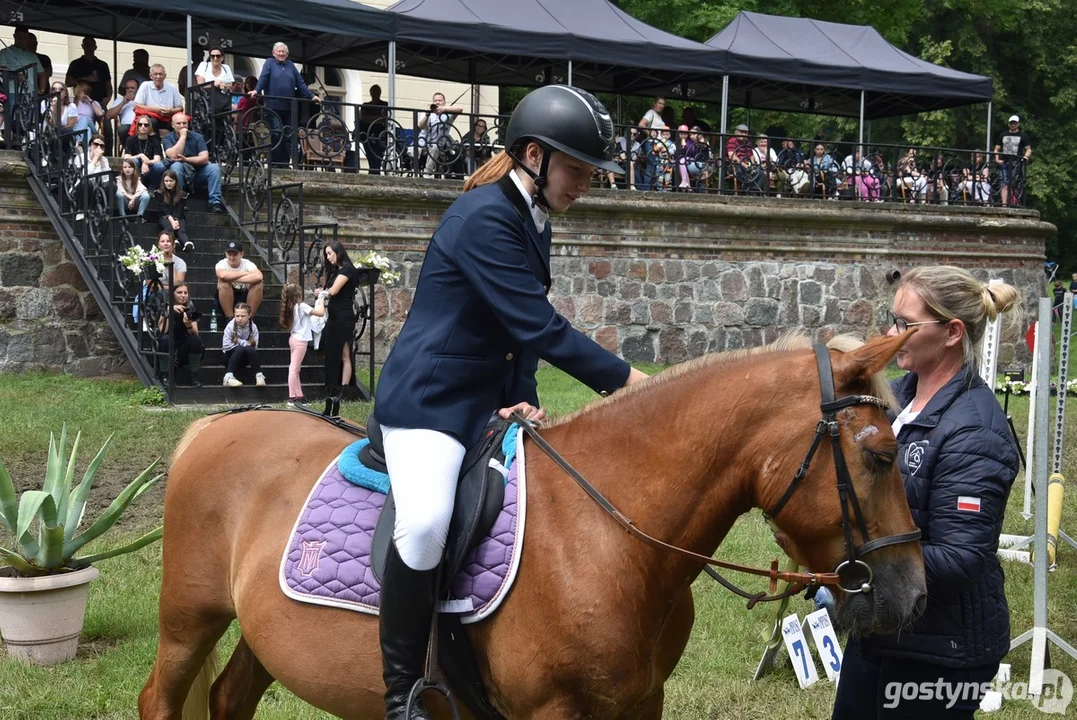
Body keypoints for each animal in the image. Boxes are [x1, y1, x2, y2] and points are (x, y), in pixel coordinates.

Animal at [136, 333, 926, 718]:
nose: (915, 597)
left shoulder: (641, 704)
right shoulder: (554, 712)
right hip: (188, 621)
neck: (607, 538)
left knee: (229, 700)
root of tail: (212, 426)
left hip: (259, 634)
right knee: (162, 699)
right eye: (879, 455)